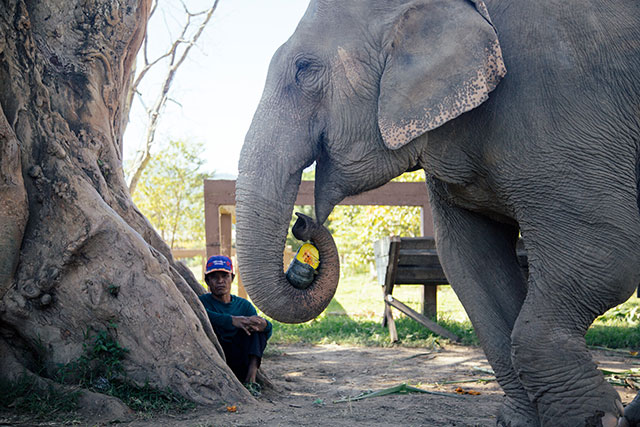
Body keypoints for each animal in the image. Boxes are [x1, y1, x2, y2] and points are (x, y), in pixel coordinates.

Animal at [234, 0, 640, 425]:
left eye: (304, 69)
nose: (303, 223)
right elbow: (471, 265)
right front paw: (522, 420)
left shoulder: (562, 107)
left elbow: (604, 258)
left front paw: (595, 418)